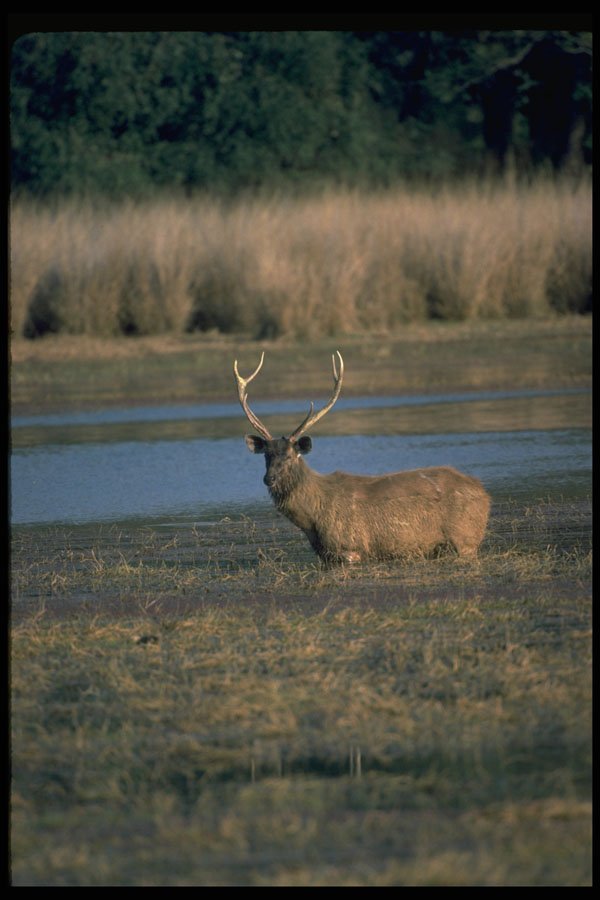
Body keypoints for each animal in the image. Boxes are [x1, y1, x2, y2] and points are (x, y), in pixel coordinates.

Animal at [234, 351, 490, 566]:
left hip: (465, 538)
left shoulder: (350, 547)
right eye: (266, 455)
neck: (313, 520)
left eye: (289, 456)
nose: (269, 478)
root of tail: (484, 493)